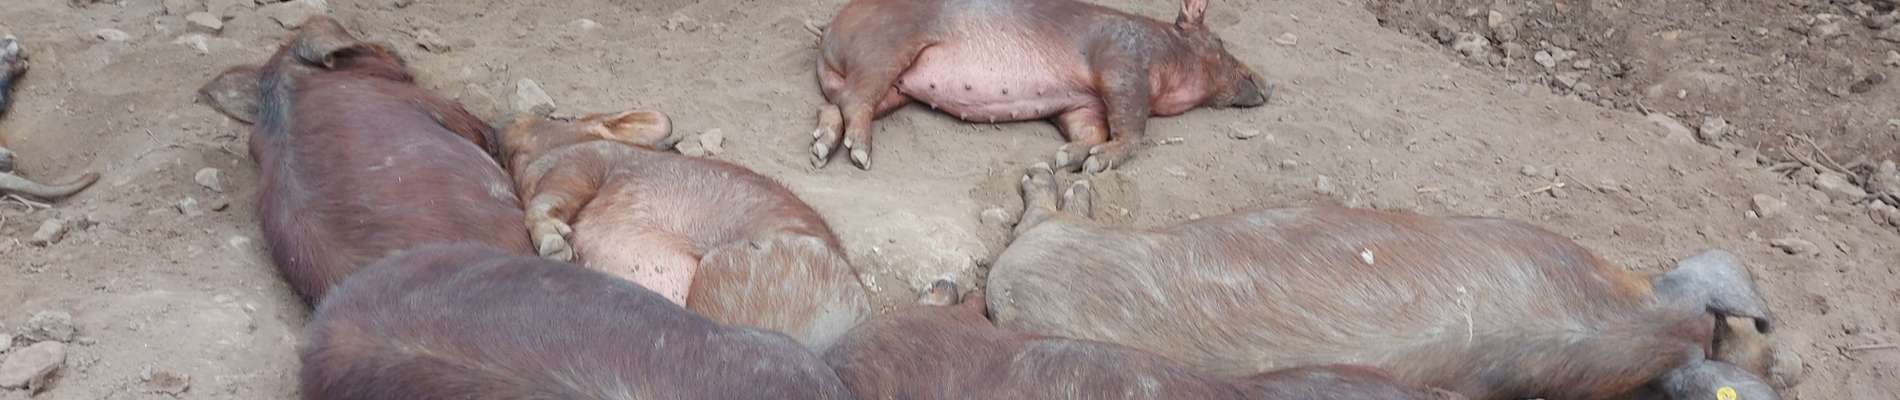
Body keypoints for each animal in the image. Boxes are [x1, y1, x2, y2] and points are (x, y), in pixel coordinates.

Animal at [500, 115, 870, 352]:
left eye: (563, 118)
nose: (509, 118)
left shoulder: (585, 161)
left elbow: (555, 194)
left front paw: (555, 247)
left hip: (741, 275)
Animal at [811, 0, 1269, 171]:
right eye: (1221, 43)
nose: (1269, 83)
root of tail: (829, 32)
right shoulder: (1120, 62)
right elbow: (1131, 124)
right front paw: (1098, 164)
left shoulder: (1082, 105)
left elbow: (1090, 130)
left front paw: (1066, 159)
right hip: (889, 44)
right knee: (856, 98)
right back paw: (859, 156)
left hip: (897, 87)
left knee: (839, 103)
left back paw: (820, 150)